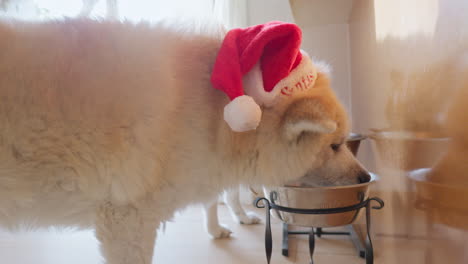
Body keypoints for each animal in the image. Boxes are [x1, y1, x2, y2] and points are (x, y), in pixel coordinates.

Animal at [0, 18, 370, 262]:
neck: (212, 114)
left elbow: (215, 199)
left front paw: (219, 227)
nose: (366, 177)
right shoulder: (126, 222)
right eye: (334, 145)